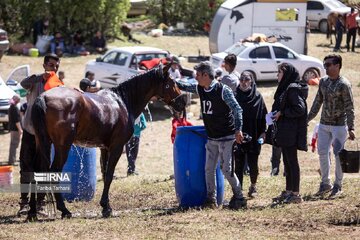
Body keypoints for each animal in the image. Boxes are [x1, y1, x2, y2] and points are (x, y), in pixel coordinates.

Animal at [29, 62, 186, 220]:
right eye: (172, 82)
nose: (182, 103)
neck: (122, 101)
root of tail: (43, 98)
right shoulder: (116, 147)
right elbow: (110, 175)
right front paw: (106, 208)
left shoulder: (104, 148)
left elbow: (104, 174)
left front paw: (105, 206)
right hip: (62, 147)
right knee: (54, 173)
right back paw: (64, 210)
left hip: (42, 144)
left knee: (34, 172)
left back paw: (32, 212)